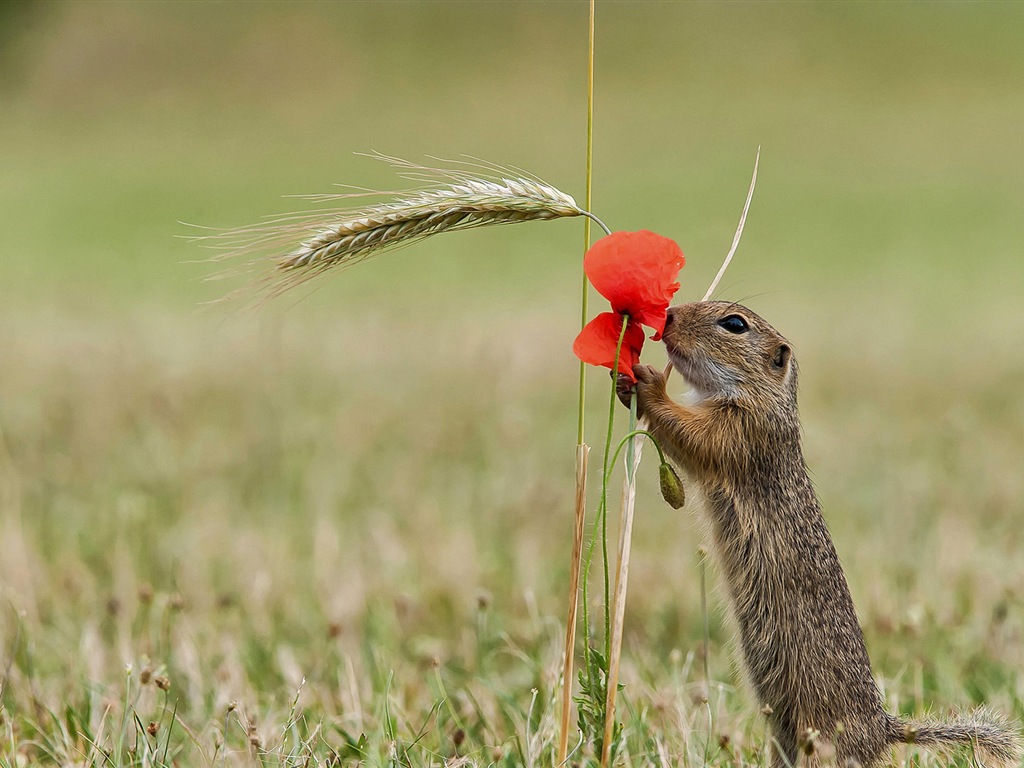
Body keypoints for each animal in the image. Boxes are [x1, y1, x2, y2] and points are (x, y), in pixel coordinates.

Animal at [618, 301, 1019, 768]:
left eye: (734, 324)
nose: (667, 317)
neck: (762, 397)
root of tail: (884, 731)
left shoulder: (743, 431)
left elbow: (693, 436)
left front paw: (648, 383)